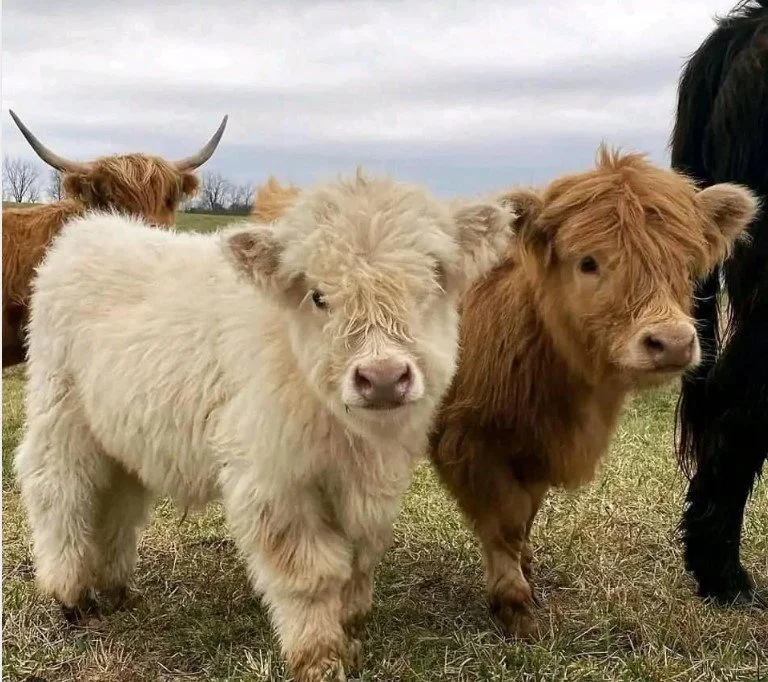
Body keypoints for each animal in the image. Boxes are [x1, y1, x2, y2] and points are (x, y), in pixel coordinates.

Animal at [14, 171, 516, 681]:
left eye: (431, 284)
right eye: (318, 296)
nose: (382, 378)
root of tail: (90, 229)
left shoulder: (370, 483)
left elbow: (360, 557)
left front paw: (351, 630)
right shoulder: (274, 482)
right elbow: (310, 573)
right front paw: (319, 657)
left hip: (119, 430)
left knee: (117, 496)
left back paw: (115, 588)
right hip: (59, 409)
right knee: (58, 487)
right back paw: (71, 594)